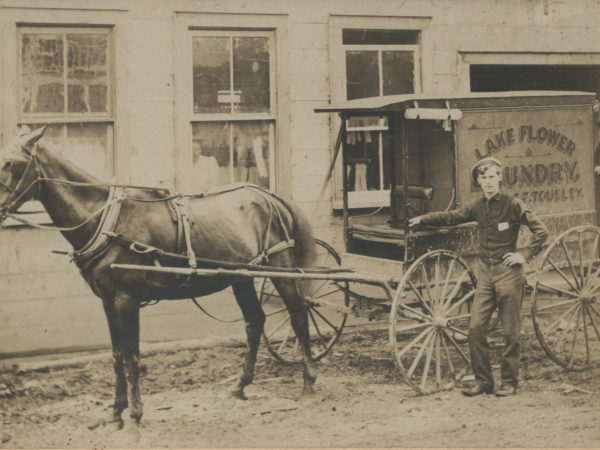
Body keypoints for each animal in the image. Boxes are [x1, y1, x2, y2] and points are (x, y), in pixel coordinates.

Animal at [0, 125, 318, 428]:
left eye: (11, 162)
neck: (108, 221)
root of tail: (271, 197)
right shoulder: (107, 301)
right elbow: (116, 355)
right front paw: (115, 413)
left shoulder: (126, 300)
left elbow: (131, 355)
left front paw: (135, 414)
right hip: (241, 277)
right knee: (255, 321)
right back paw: (240, 386)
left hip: (279, 268)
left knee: (299, 316)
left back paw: (308, 386)